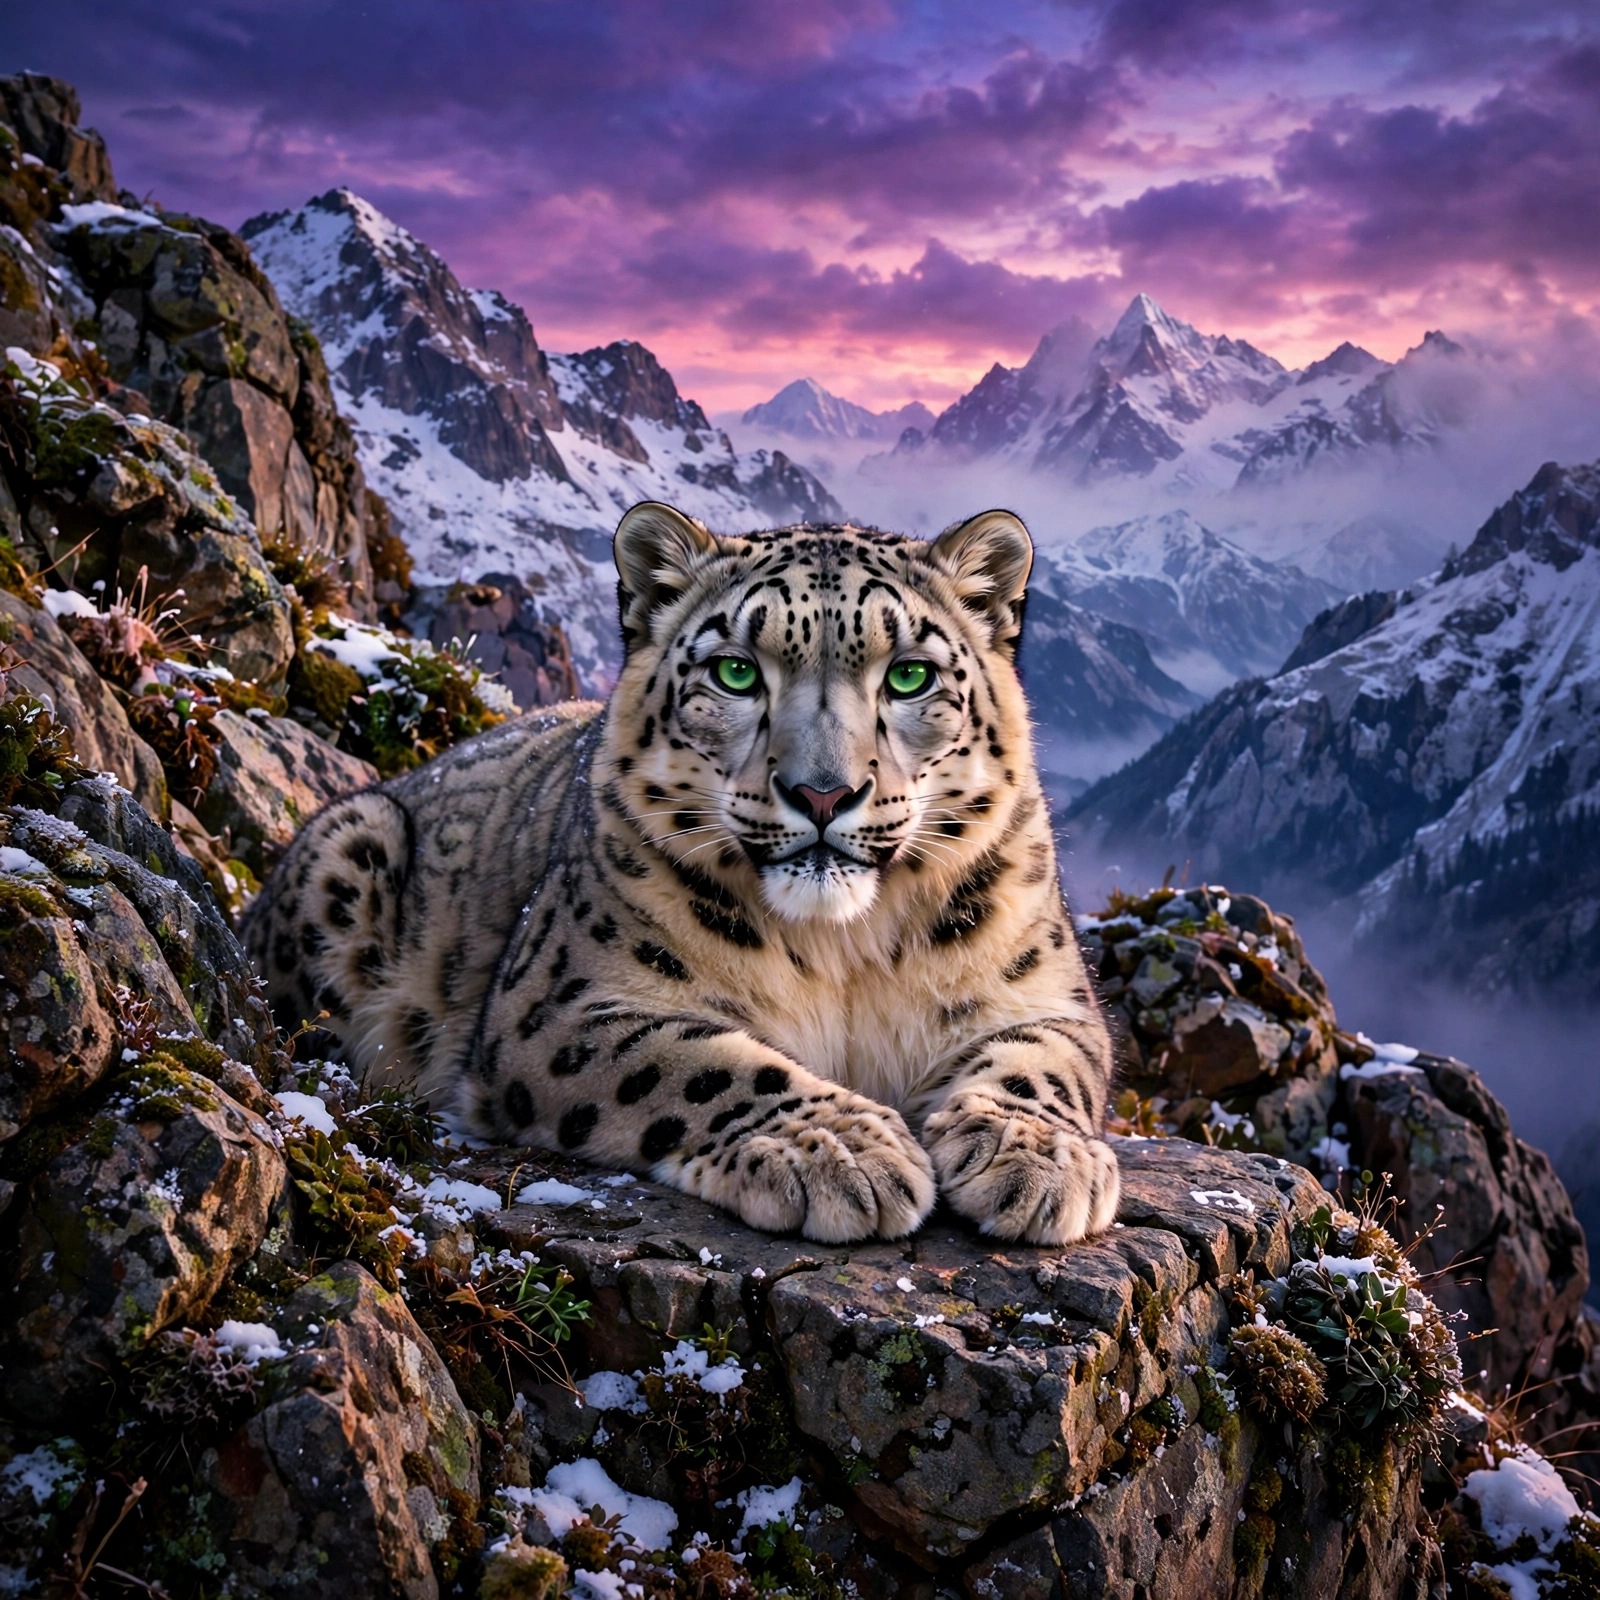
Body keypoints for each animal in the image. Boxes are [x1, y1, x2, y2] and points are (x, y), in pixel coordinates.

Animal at [243, 503, 1120, 1246]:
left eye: (909, 675)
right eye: (735, 673)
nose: (823, 791)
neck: (844, 951)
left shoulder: (1044, 993)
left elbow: (1043, 1064)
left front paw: (1036, 1159)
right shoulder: (564, 1006)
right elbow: (698, 1063)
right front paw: (841, 1150)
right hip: (353, 843)